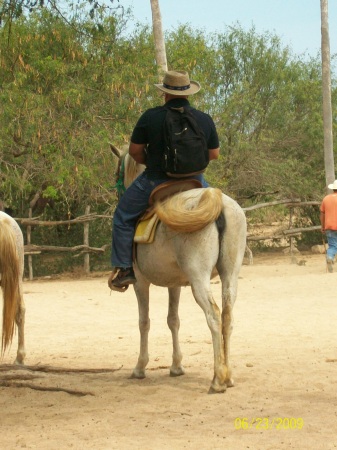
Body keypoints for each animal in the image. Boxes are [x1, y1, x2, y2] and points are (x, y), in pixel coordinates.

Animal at [109, 149, 245, 392]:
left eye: (117, 171)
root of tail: (217, 200)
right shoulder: (175, 285)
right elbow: (173, 320)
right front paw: (176, 366)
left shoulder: (140, 282)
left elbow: (144, 322)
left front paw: (140, 367)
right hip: (230, 274)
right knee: (227, 317)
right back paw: (228, 376)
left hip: (198, 278)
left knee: (214, 316)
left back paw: (217, 379)